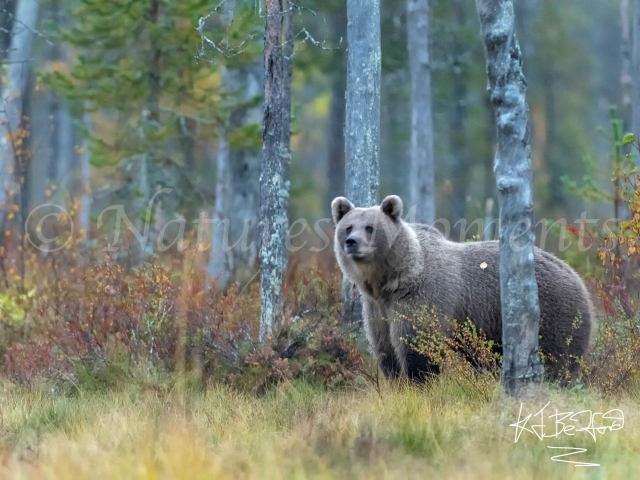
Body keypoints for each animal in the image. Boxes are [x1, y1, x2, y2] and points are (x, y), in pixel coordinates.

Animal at [332, 193, 592, 380]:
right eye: (348, 227)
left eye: (370, 227)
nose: (351, 242)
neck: (392, 281)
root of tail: (578, 278)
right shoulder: (378, 309)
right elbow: (386, 350)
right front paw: (396, 381)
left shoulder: (421, 299)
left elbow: (419, 348)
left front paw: (419, 382)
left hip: (553, 314)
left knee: (558, 359)